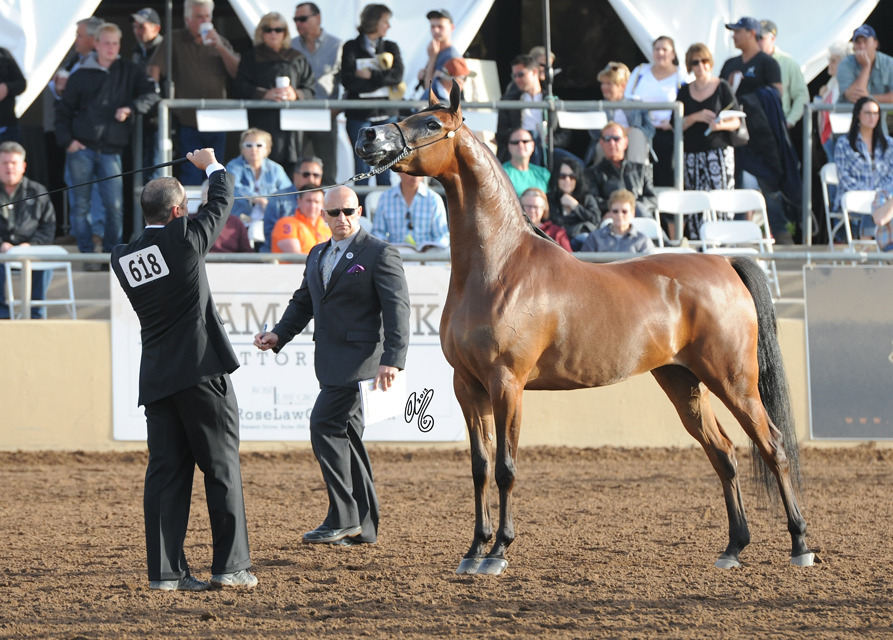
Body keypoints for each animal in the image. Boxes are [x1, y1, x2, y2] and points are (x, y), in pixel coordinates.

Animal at [355, 83, 815, 575]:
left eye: (432, 124)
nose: (367, 135)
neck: (498, 266)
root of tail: (724, 262)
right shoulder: (468, 386)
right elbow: (479, 468)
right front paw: (474, 550)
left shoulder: (507, 384)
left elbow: (505, 468)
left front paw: (498, 552)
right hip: (684, 382)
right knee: (724, 454)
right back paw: (733, 548)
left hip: (734, 382)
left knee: (773, 446)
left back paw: (800, 545)